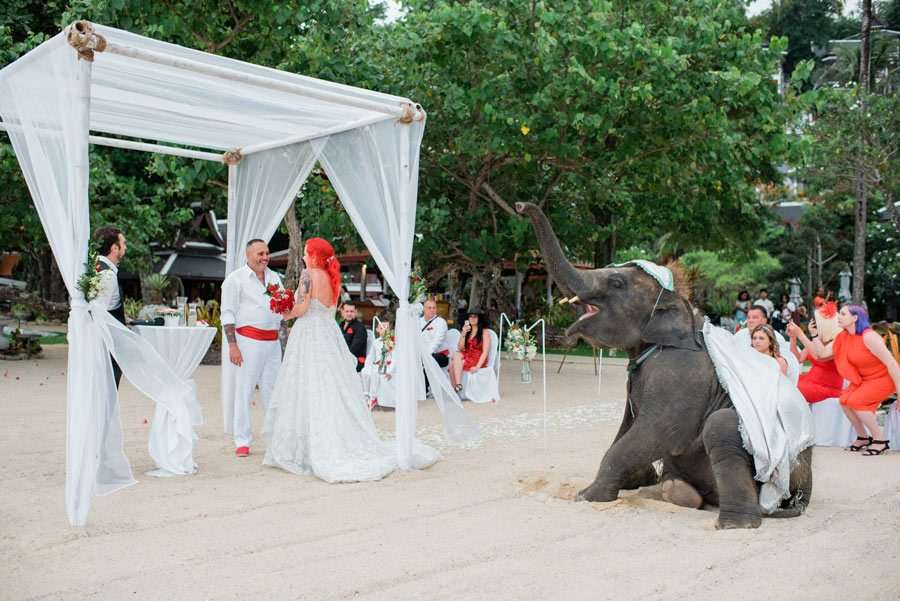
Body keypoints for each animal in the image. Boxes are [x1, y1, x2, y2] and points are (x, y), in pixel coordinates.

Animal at [516, 202, 812, 529]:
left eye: (617, 282)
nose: (519, 206)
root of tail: (804, 496)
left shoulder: (679, 377)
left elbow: (657, 432)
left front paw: (587, 496)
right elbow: (628, 427)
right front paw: (632, 482)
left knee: (720, 426)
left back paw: (734, 524)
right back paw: (672, 490)